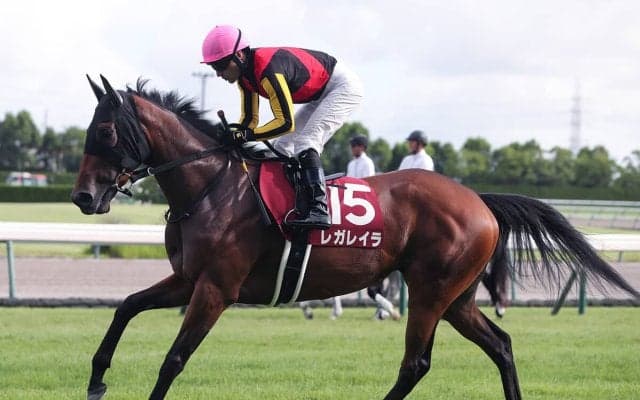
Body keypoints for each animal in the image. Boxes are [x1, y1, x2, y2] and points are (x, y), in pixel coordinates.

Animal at [72, 76, 639, 400]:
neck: (211, 185)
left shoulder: (216, 288)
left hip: (431, 291)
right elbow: (125, 307)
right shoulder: (189, 279)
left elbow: (173, 359)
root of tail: (478, 200)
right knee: (500, 344)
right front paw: (97, 378)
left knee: (416, 362)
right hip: (455, 297)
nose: (82, 197)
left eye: (105, 133)